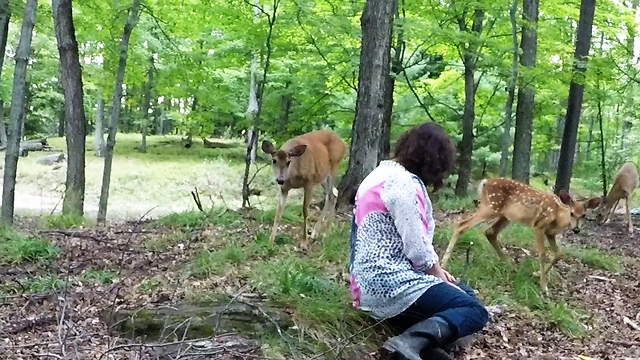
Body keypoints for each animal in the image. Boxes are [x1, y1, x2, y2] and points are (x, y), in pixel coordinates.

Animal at [440, 179, 600, 294]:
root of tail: (485, 182)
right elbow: (542, 254)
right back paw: (443, 263)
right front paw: (544, 286)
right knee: (461, 224)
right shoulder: (539, 226)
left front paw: (537, 274)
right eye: (572, 213)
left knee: (490, 232)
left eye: (583, 215)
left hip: (504, 215)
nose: (576, 229)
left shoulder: (550, 233)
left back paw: (509, 264)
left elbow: (559, 254)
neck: (557, 217)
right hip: (491, 207)